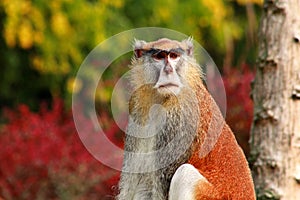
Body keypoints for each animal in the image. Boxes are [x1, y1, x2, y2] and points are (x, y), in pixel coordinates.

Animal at [116, 38, 255, 199]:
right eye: (159, 56)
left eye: (174, 56)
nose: (169, 71)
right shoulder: (138, 106)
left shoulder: (177, 119)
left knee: (185, 173)